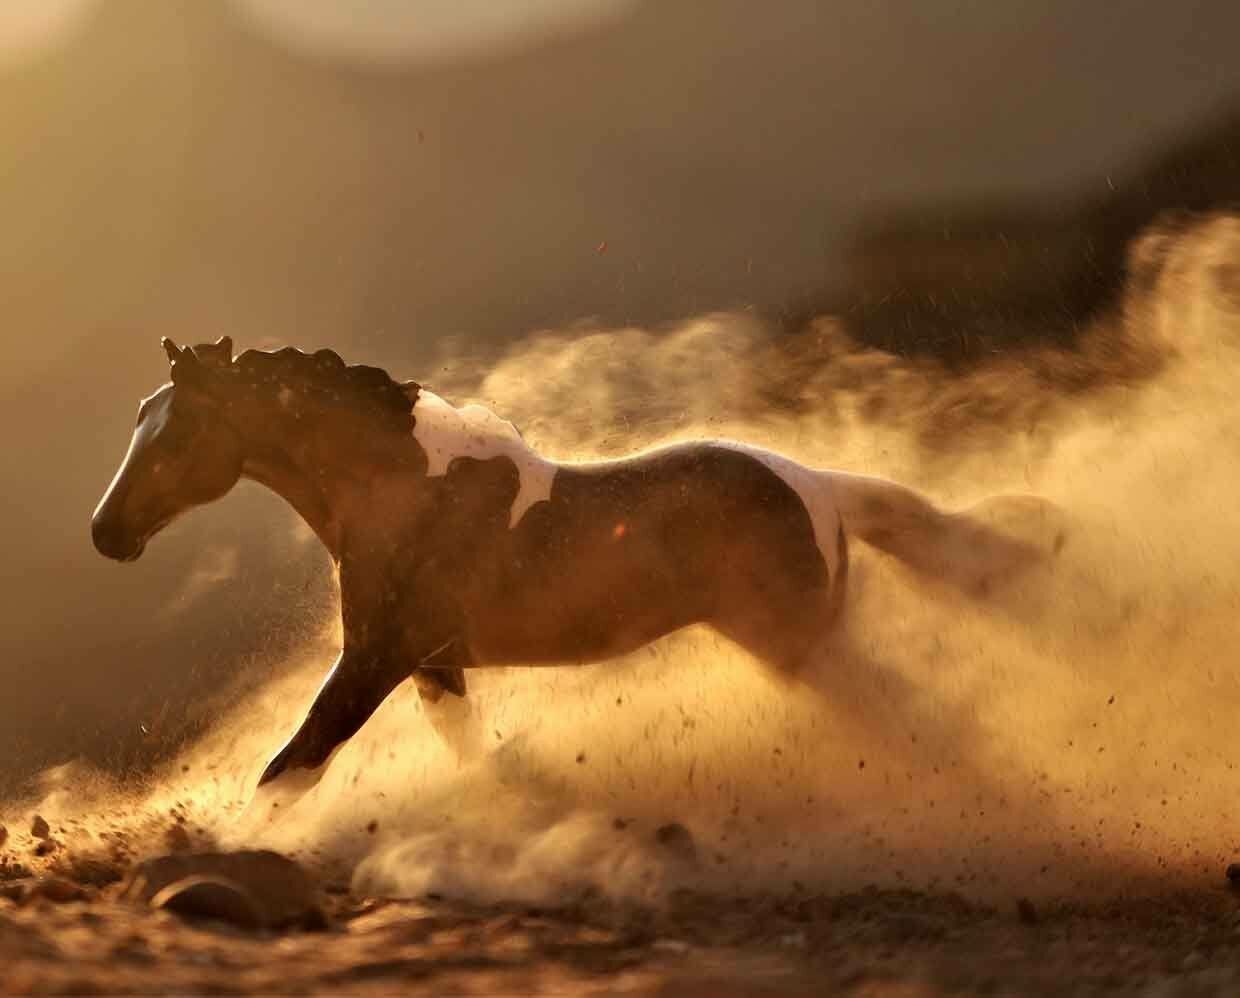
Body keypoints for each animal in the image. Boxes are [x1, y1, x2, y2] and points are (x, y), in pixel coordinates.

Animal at [91, 337, 1049, 810]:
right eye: (137, 414)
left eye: (180, 431)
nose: (106, 534)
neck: (404, 491)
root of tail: (818, 486)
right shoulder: (434, 666)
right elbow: (476, 756)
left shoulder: (372, 660)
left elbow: (290, 771)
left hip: (800, 646)